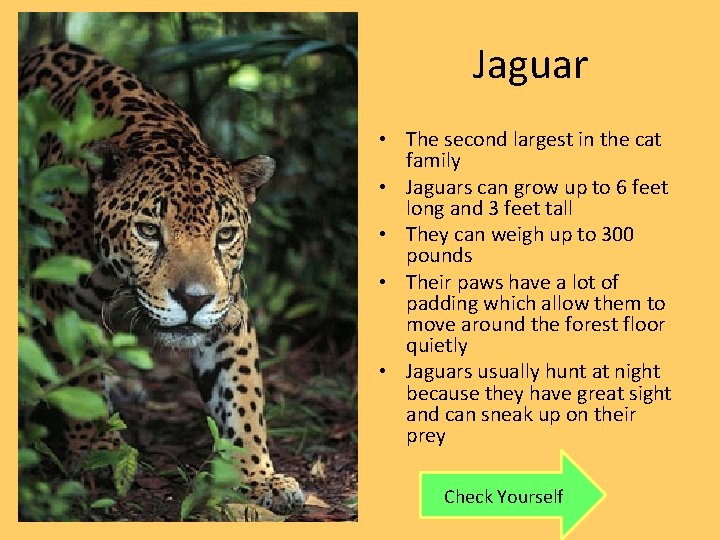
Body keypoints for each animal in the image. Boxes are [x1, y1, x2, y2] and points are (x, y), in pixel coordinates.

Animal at [19, 41, 304, 513]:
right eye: (149, 231)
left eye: (225, 235)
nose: (194, 299)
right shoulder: (58, 303)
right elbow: (80, 383)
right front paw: (99, 452)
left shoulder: (229, 311)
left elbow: (243, 394)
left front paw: (256, 475)